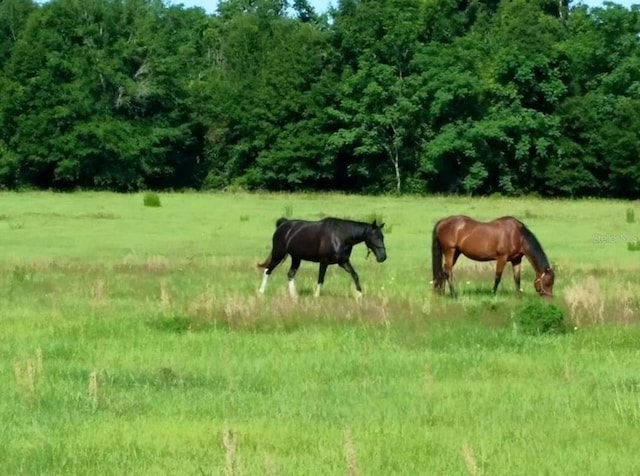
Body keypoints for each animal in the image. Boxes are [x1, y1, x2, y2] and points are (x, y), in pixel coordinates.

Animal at [258, 217, 388, 298]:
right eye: (375, 237)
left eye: (382, 237)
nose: (383, 257)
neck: (340, 236)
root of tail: (283, 225)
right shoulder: (324, 261)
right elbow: (321, 279)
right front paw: (316, 296)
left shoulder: (343, 262)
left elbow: (355, 275)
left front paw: (360, 295)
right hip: (278, 254)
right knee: (267, 270)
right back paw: (261, 292)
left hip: (296, 258)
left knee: (290, 274)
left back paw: (294, 296)